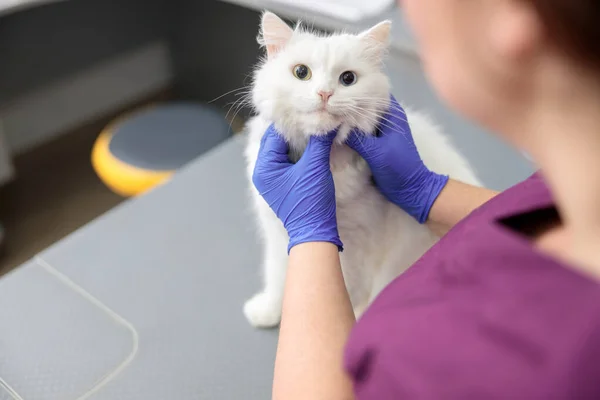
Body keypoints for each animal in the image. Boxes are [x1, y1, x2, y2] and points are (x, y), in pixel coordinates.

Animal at [241, 12, 480, 328]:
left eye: (348, 79)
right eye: (301, 72)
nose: (324, 93)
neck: (328, 166)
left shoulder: (359, 248)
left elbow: (347, 295)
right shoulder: (279, 233)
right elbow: (278, 276)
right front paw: (267, 311)